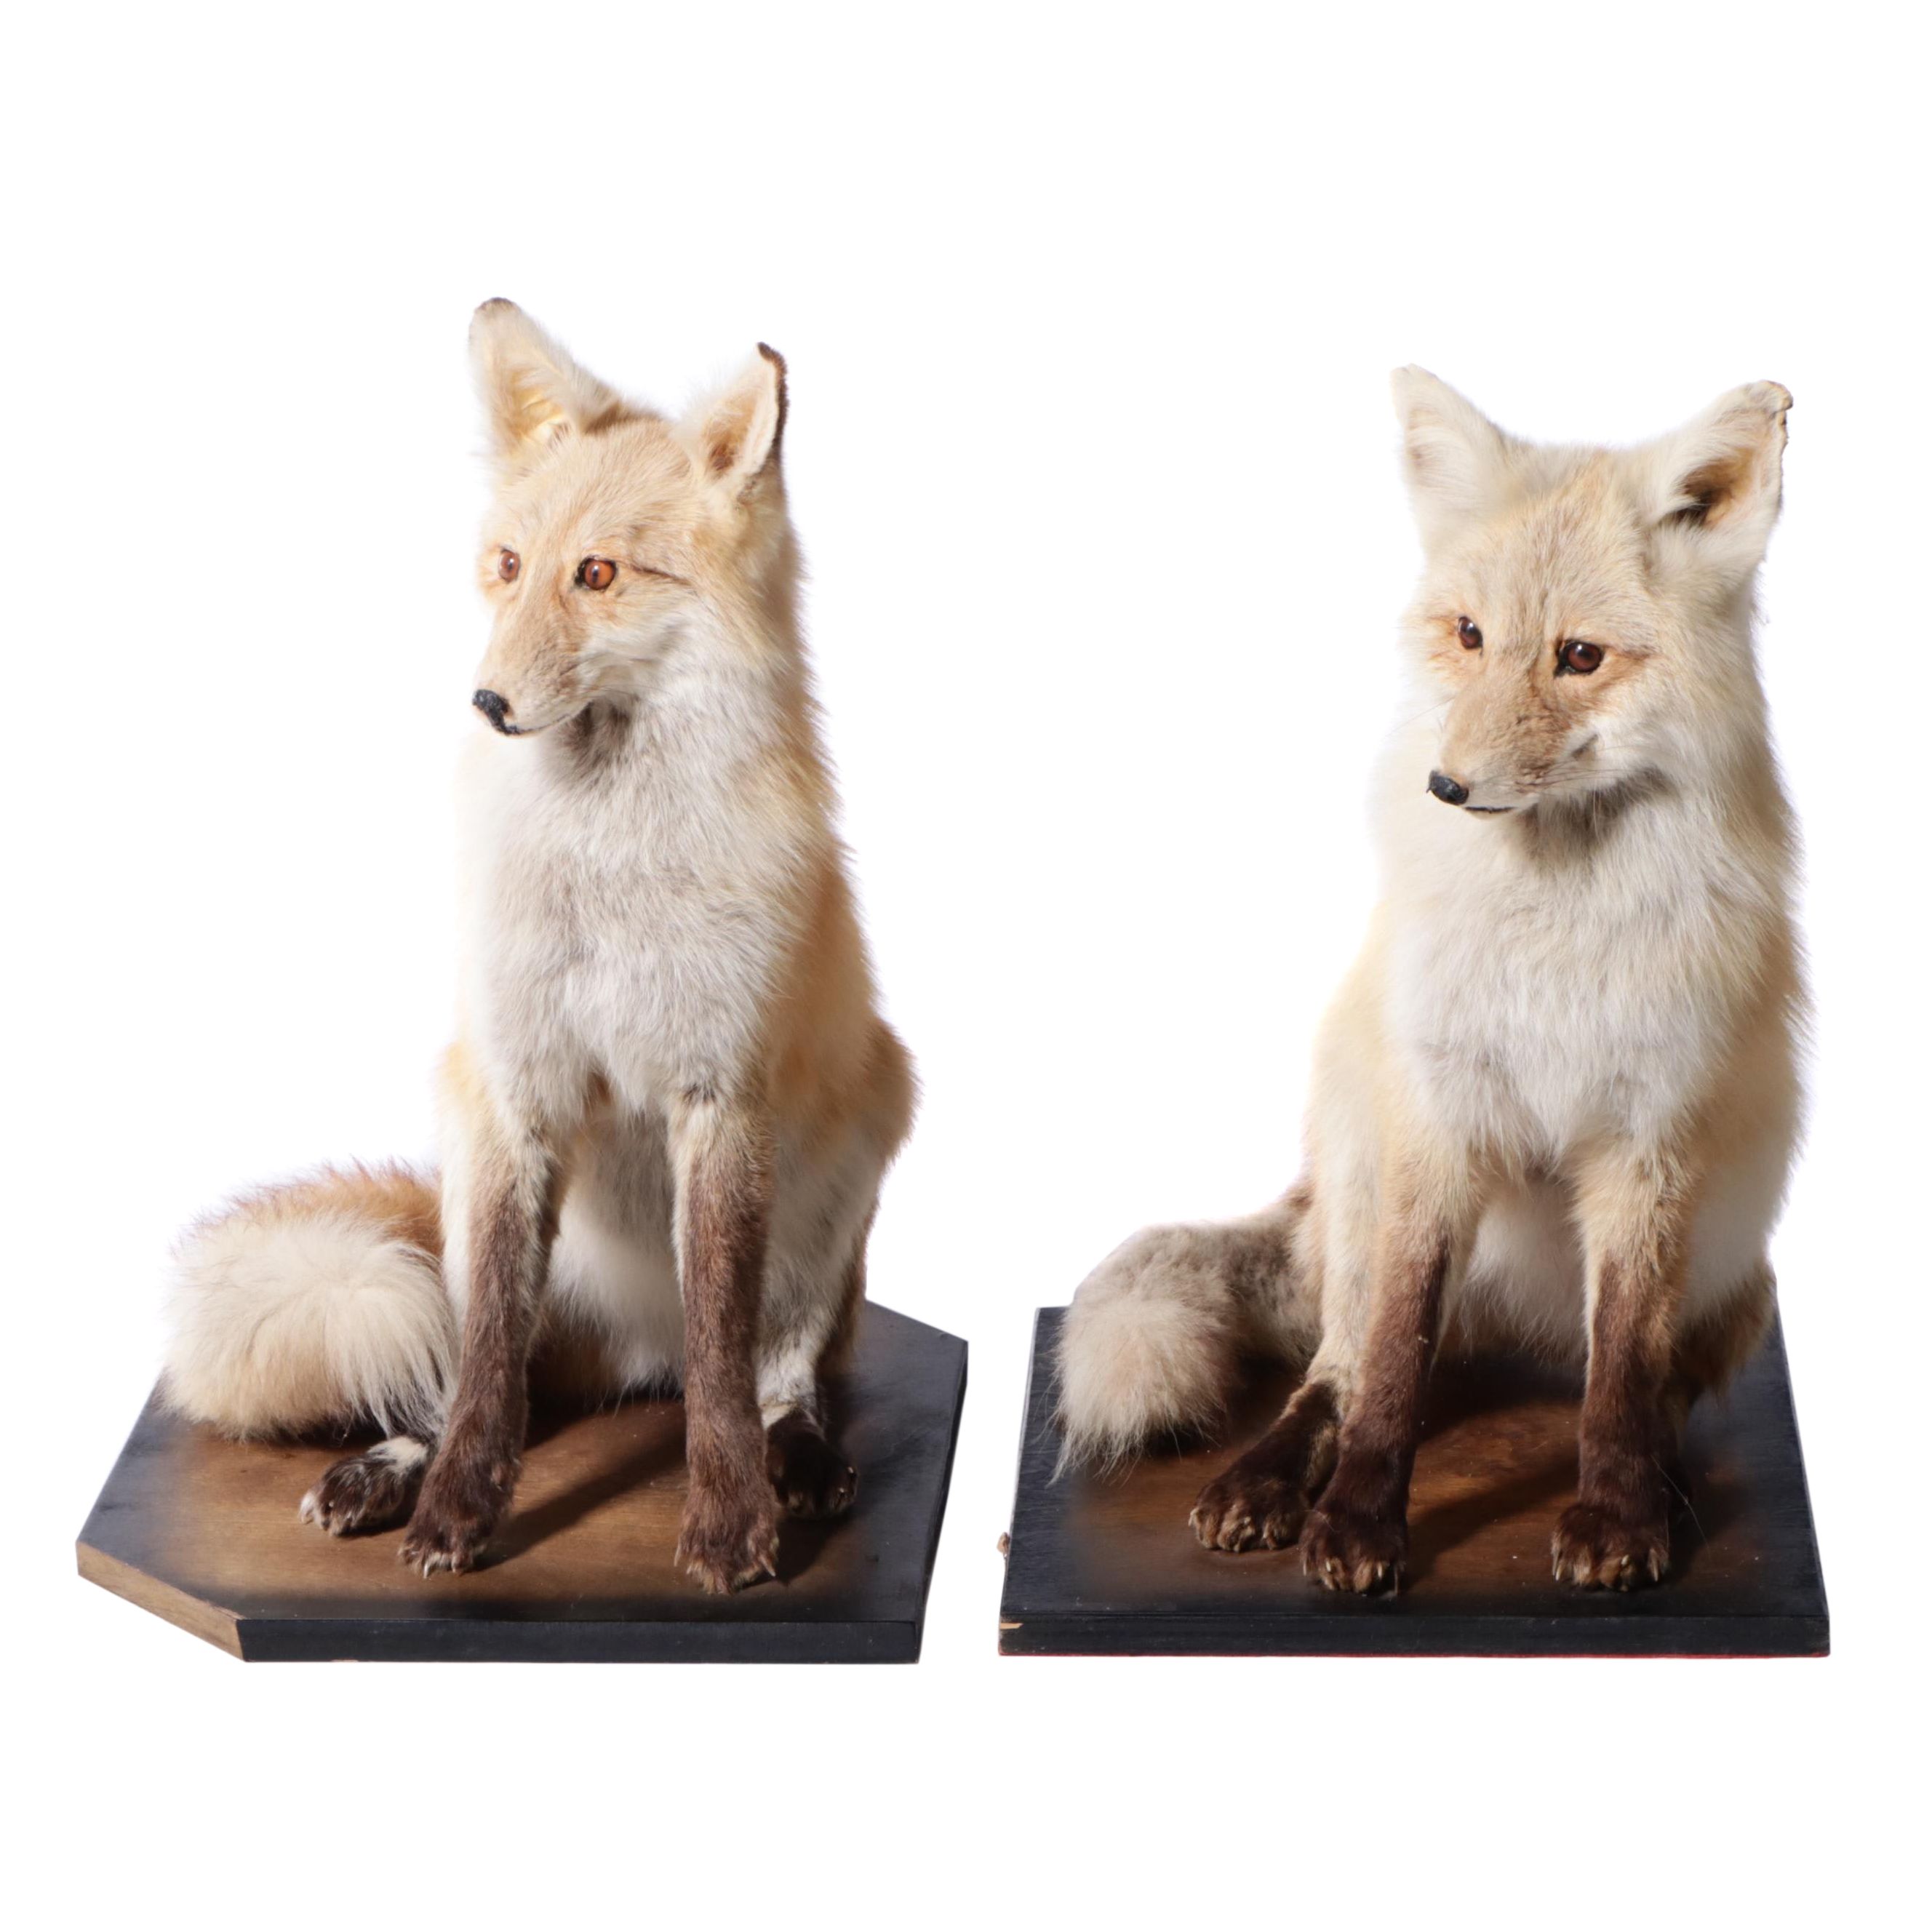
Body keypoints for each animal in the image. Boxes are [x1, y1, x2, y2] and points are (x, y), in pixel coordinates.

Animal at [162, 300, 915, 1592]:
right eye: (508, 568)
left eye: (599, 573)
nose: (487, 703)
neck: (606, 882)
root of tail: (634, 1353)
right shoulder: (516, 1087)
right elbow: (484, 1379)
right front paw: (457, 1511)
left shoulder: (723, 1096)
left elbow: (726, 1363)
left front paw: (729, 1521)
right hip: (462, 1157)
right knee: (491, 1368)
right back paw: (389, 1466)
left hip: (860, 1141)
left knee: (777, 1371)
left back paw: (801, 1458)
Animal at [1057, 369, 1803, 1594]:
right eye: (1469, 636)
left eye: (1580, 657)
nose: (1447, 786)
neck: (1552, 931)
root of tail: (1514, 1323)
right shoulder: (1440, 1121)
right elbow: (1394, 1360)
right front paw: (1359, 1521)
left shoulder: (1649, 1143)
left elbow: (1622, 1369)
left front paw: (1620, 1512)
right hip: (1361, 1175)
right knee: (1340, 1363)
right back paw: (1268, 1481)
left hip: (1740, 1263)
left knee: (1658, 1383)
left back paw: (1671, 1481)